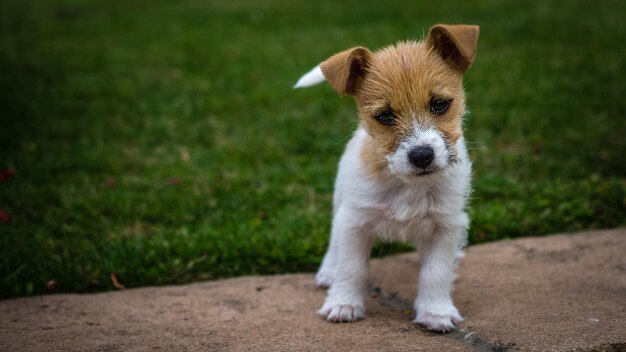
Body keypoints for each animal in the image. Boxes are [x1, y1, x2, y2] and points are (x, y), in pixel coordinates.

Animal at [292, 24, 478, 332]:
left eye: (440, 104)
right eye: (385, 116)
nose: (422, 155)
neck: (406, 183)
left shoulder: (446, 225)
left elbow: (435, 272)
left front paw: (436, 312)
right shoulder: (354, 221)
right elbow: (351, 267)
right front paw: (344, 304)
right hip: (340, 203)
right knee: (334, 244)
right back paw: (328, 272)